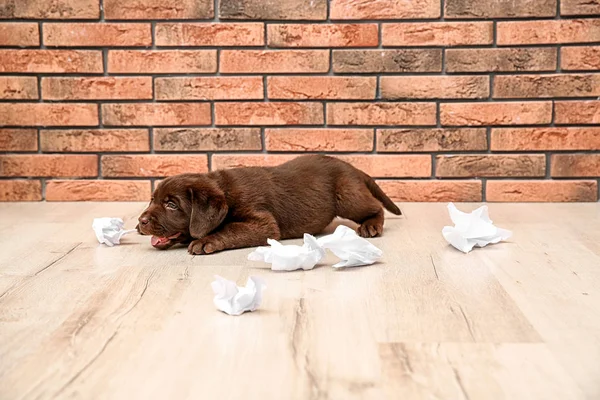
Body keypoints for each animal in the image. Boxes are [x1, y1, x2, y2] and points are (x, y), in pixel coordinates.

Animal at [138, 155, 400, 255]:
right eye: (152, 199)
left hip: (347, 196)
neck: (226, 191)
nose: (140, 222)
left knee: (374, 207)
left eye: (172, 205)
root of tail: (351, 166)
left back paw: (371, 226)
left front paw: (205, 241)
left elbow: (230, 228)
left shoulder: (263, 223)